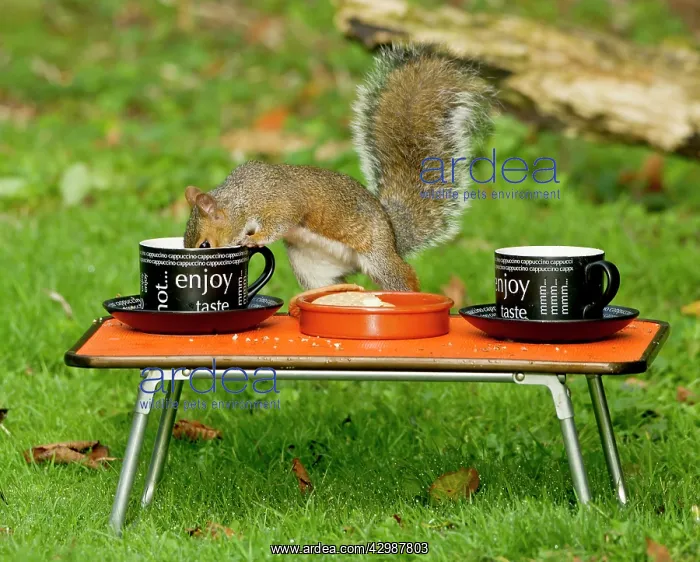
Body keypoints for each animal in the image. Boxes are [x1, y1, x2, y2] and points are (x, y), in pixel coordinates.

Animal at [183, 44, 493, 292]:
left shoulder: (278, 202)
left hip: (378, 256)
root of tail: (393, 234)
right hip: (312, 266)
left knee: (403, 276)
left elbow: (280, 222)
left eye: (204, 245)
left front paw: (254, 240)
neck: (241, 198)